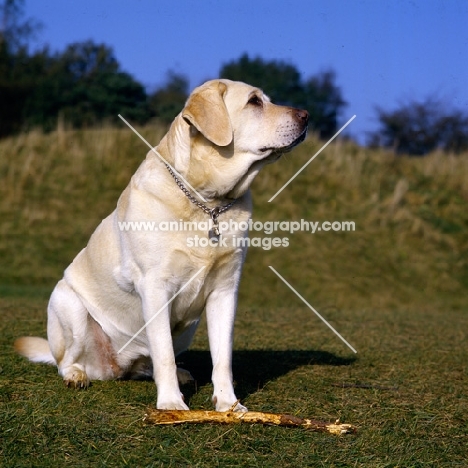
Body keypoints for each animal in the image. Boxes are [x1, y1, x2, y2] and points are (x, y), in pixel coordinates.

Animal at [15, 78, 308, 412]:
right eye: (254, 101)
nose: (306, 116)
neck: (207, 202)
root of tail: (118, 365)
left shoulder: (225, 290)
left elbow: (223, 358)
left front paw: (229, 405)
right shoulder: (155, 287)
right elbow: (164, 353)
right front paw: (171, 404)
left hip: (189, 327)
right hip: (68, 303)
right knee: (67, 361)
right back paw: (77, 375)